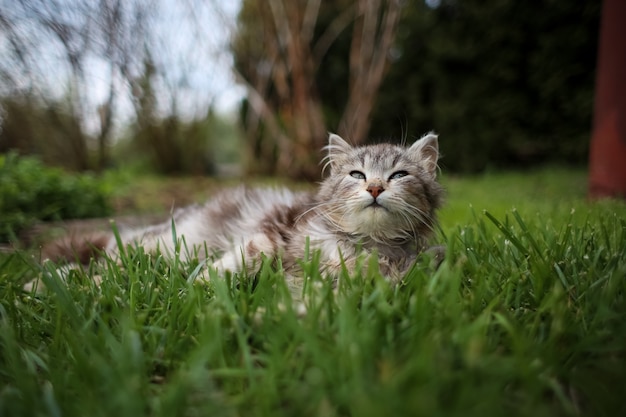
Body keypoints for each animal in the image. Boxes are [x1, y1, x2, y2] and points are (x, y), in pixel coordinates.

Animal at [29, 133, 442, 292]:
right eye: (357, 175)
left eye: (399, 175)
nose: (375, 188)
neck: (359, 244)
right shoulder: (274, 231)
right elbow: (243, 259)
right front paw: (197, 285)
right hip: (161, 243)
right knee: (104, 264)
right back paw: (39, 283)